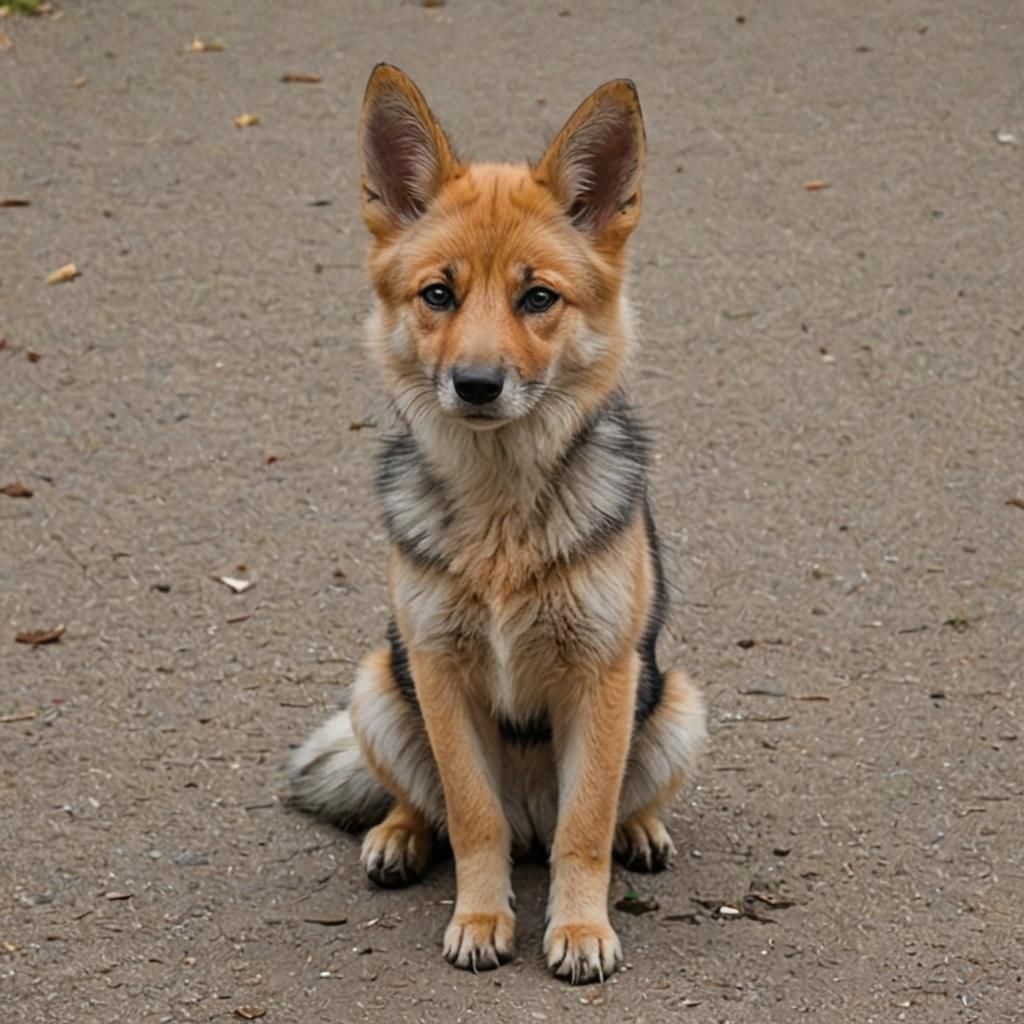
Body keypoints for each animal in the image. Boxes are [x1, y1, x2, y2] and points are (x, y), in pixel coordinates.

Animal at [287, 64, 707, 984]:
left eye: (537, 297)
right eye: (438, 295)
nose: (476, 385)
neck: (503, 518)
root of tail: (530, 817)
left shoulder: (603, 677)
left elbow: (584, 829)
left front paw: (580, 928)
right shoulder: (440, 671)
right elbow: (472, 816)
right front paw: (481, 918)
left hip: (676, 704)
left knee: (603, 811)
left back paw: (640, 829)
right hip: (381, 683)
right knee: (433, 805)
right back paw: (398, 835)